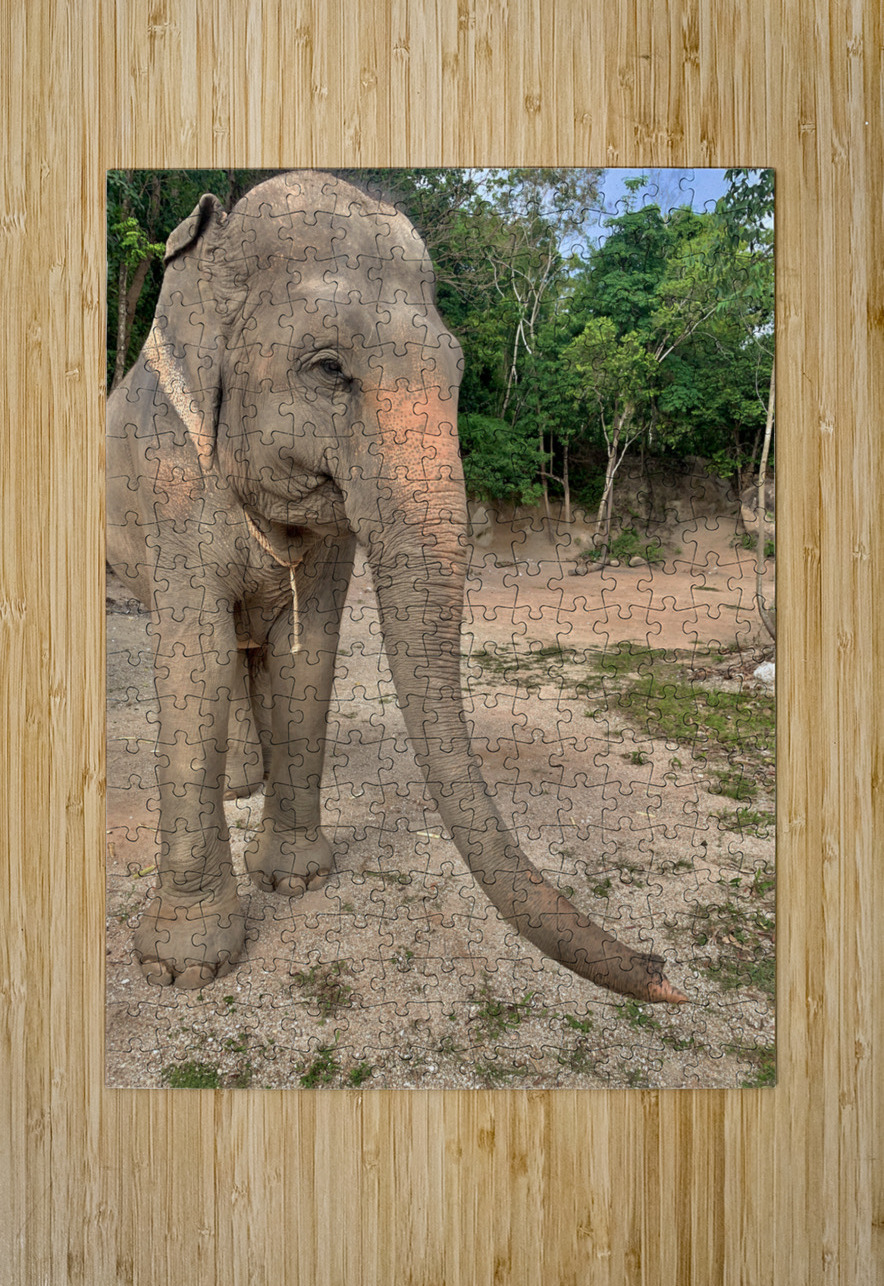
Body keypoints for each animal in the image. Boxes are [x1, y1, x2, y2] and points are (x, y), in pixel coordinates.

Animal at [106, 170, 687, 1004]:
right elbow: (196, 660)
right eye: (327, 368)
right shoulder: (170, 484)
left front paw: (295, 883)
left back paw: (246, 785)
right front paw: (184, 970)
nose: (666, 971)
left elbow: (306, 656)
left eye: (457, 371)